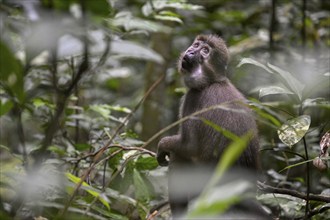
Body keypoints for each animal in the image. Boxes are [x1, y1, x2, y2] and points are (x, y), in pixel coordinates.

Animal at [156, 34, 264, 218]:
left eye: (205, 51)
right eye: (197, 45)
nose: (191, 51)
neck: (212, 81)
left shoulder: (192, 98)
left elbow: (189, 147)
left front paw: (163, 145)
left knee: (179, 156)